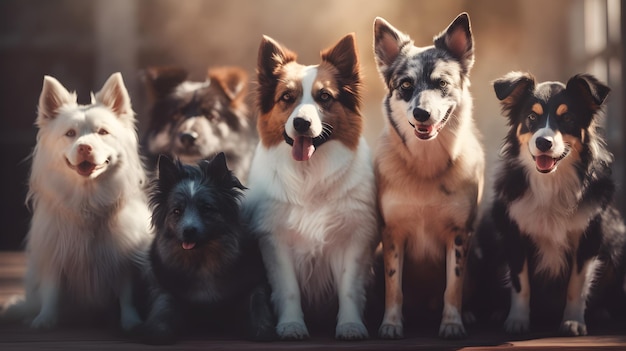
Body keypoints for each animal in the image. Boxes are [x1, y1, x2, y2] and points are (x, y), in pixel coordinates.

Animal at [139, 153, 276, 344]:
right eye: (177, 211)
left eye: (206, 208)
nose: (188, 231)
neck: (202, 260)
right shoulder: (164, 284)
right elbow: (163, 304)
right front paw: (156, 331)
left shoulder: (254, 281)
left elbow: (257, 301)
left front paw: (262, 329)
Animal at [243, 34, 378, 340]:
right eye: (286, 97)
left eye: (324, 97)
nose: (302, 123)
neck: (309, 175)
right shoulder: (276, 240)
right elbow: (289, 290)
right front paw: (291, 325)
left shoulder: (354, 238)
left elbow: (349, 289)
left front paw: (350, 326)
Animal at [370, 13, 482, 338]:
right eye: (406, 85)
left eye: (442, 83)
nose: (422, 114)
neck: (425, 166)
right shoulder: (392, 235)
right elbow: (394, 288)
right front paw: (391, 324)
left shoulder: (459, 236)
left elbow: (453, 287)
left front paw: (452, 323)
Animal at [486, 72, 624, 338]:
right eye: (531, 117)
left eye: (567, 118)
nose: (544, 142)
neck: (551, 181)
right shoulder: (514, 234)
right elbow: (520, 283)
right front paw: (517, 321)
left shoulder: (590, 236)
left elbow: (577, 285)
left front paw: (573, 322)